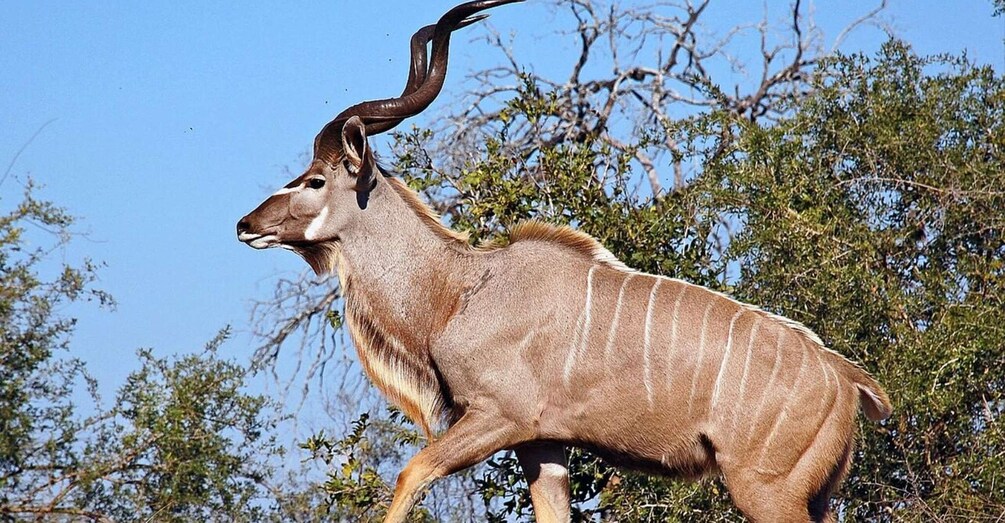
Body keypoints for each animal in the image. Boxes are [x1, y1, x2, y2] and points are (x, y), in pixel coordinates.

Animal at [237, 1, 892, 521]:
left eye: (315, 179)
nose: (246, 226)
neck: (458, 290)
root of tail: (847, 381)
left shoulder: (498, 418)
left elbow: (410, 474)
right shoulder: (542, 445)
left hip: (766, 490)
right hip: (812, 496)